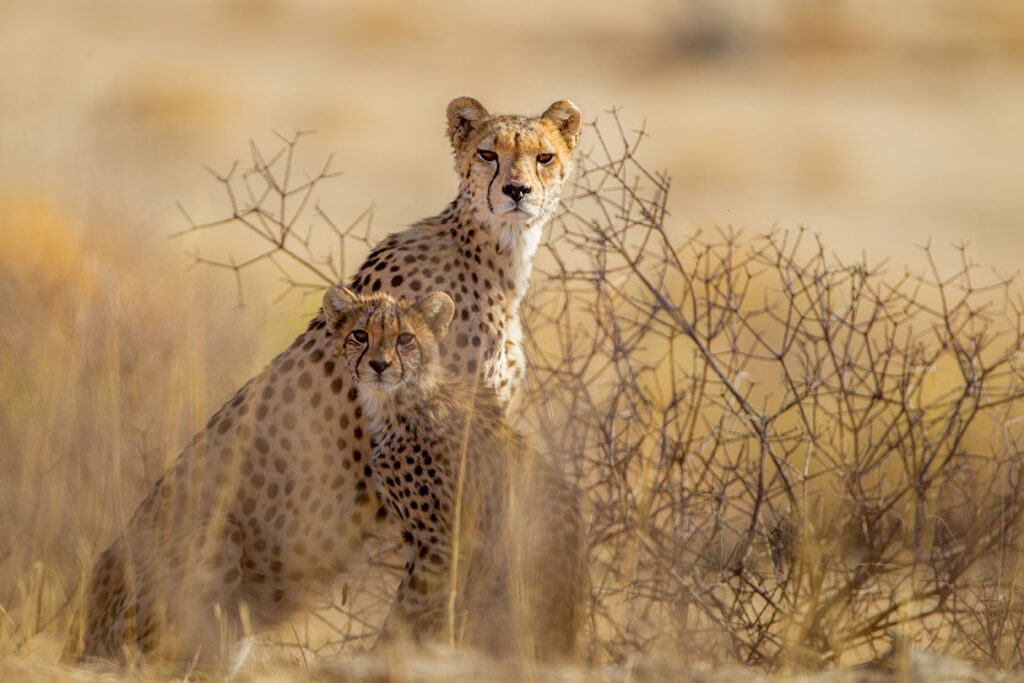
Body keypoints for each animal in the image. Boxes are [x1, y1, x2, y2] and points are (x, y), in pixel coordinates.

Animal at [323, 286, 589, 663]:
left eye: (405, 338)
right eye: (360, 335)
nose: (378, 365)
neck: (402, 400)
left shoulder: (441, 543)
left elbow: (406, 611)